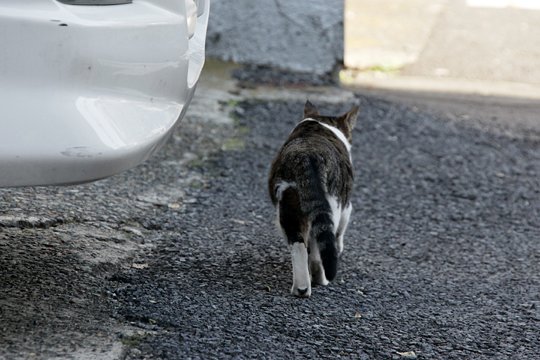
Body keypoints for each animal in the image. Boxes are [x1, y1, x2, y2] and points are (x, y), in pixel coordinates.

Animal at [266, 101, 358, 298]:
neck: (321, 123)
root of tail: (305, 156)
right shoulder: (346, 205)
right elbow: (340, 231)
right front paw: (339, 247)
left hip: (289, 205)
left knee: (299, 244)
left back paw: (301, 288)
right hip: (331, 204)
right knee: (320, 244)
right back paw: (320, 278)